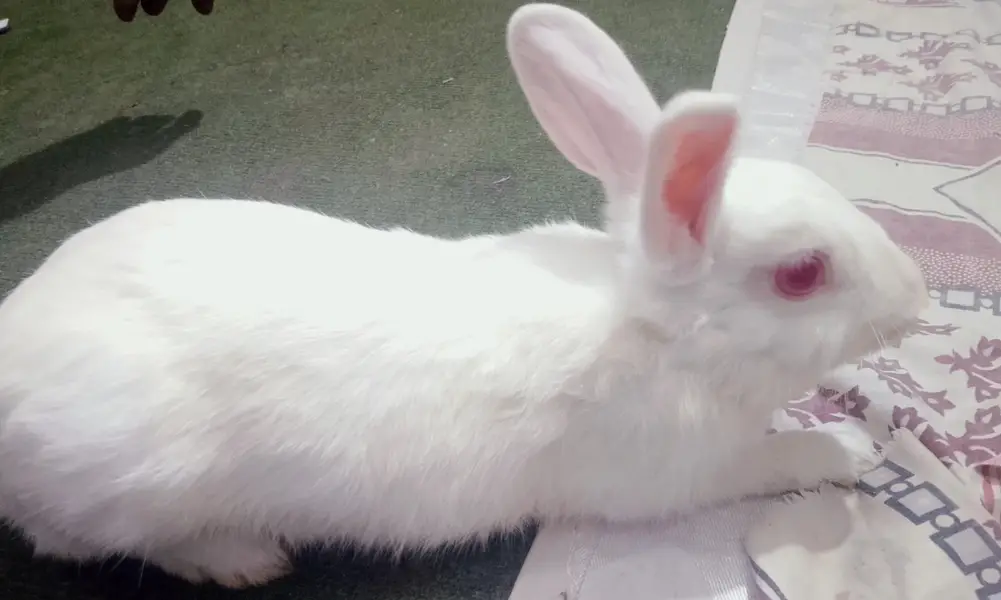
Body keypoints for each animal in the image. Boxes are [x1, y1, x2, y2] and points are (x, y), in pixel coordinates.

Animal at [0, 2, 927, 589]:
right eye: (802, 274)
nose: (914, 295)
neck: (656, 334)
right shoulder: (673, 473)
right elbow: (770, 461)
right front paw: (847, 448)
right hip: (129, 480)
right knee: (70, 540)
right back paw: (239, 558)